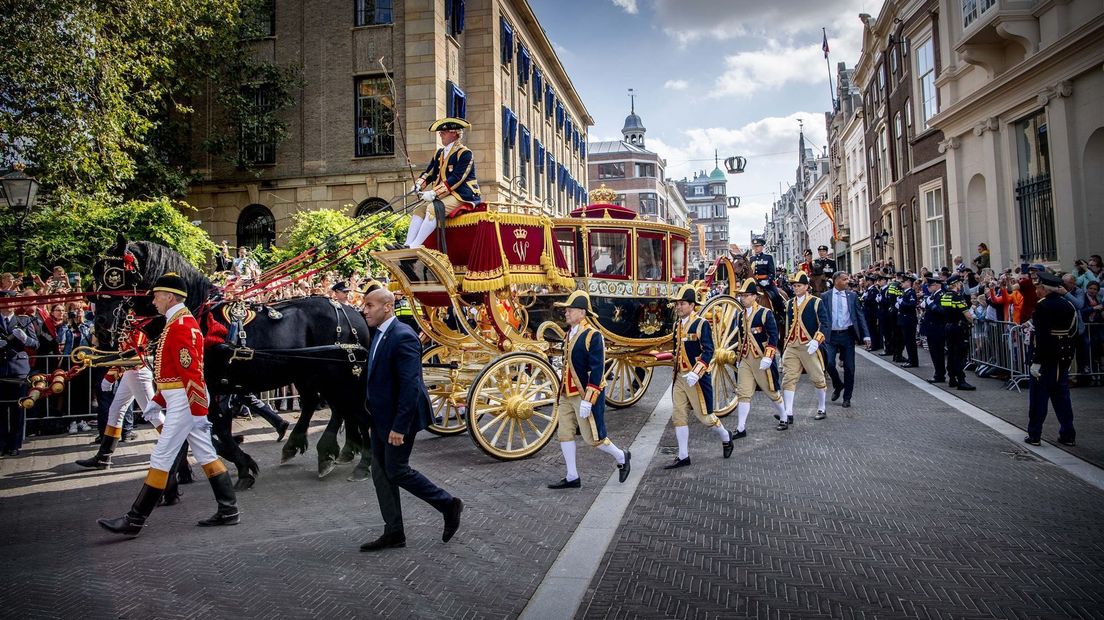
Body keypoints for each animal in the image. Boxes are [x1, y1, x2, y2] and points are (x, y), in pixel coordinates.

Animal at [93, 239, 370, 485]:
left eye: (113, 275)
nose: (101, 325)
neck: (197, 314)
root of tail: (352, 312)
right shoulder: (207, 387)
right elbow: (208, 431)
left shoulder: (207, 386)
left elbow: (217, 430)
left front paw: (243, 466)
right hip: (309, 373)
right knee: (327, 405)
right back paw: (310, 446)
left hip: (334, 373)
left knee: (348, 408)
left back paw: (341, 453)